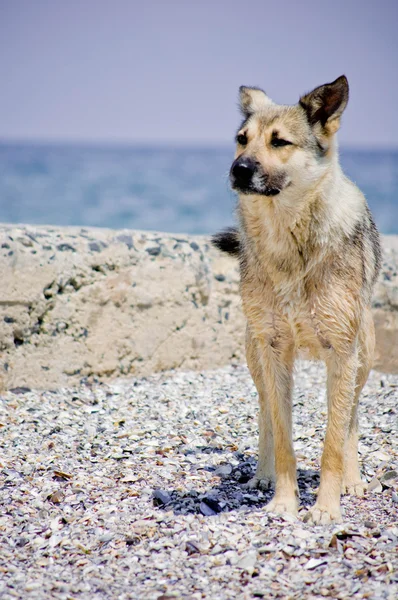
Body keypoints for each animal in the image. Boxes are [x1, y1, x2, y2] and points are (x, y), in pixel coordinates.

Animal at [213, 75, 380, 524]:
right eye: (242, 140)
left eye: (280, 142)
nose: (239, 169)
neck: (288, 242)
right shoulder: (273, 350)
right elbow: (284, 436)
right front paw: (284, 502)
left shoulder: (341, 352)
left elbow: (334, 442)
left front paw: (326, 507)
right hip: (257, 359)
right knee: (266, 415)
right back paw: (262, 475)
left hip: (362, 358)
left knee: (351, 419)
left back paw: (354, 481)